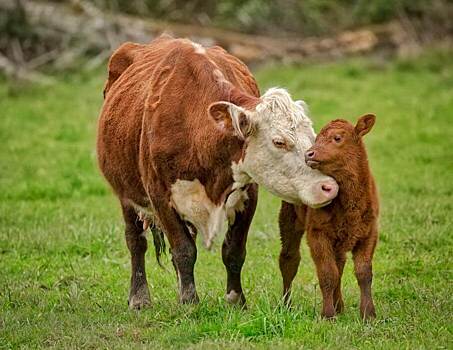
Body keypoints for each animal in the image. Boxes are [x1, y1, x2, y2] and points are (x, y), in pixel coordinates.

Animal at [96, 35, 336, 308]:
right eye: (279, 142)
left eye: (313, 138)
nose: (328, 187)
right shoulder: (159, 195)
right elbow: (183, 249)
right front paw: (189, 302)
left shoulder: (248, 192)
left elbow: (233, 251)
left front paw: (235, 300)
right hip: (126, 194)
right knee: (136, 240)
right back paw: (139, 297)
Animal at [278, 114, 378, 320]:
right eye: (316, 139)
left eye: (337, 138)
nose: (309, 154)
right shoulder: (317, 233)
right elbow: (327, 273)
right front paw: (327, 315)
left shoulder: (369, 232)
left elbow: (363, 272)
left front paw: (368, 314)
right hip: (289, 219)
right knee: (289, 259)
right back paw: (286, 305)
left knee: (339, 264)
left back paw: (339, 305)